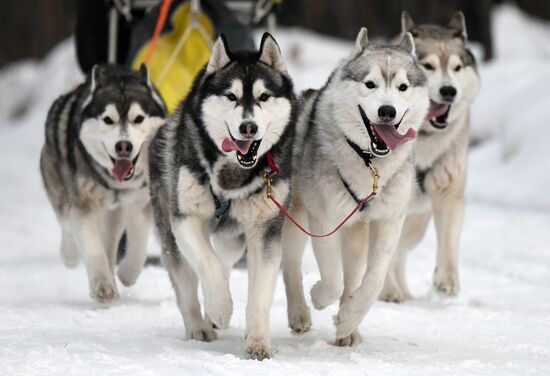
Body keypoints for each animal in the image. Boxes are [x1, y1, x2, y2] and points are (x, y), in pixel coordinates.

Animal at [40, 64, 166, 304]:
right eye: (108, 120)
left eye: (138, 118)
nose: (123, 146)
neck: (116, 184)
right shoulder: (83, 207)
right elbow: (93, 249)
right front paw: (102, 287)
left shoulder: (140, 202)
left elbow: (138, 243)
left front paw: (127, 273)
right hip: (59, 187)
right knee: (67, 224)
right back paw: (70, 255)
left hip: (114, 213)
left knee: (110, 242)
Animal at [149, 33, 298, 360]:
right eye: (231, 96)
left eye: (264, 97)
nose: (248, 127)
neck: (233, 174)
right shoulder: (185, 219)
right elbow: (208, 264)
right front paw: (220, 307)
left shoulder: (265, 229)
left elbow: (258, 295)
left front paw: (258, 342)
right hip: (171, 234)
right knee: (188, 281)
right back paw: (199, 325)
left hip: (233, 239)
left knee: (225, 260)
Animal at [284, 28, 432, 346]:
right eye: (370, 83)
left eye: (402, 87)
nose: (387, 111)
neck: (369, 163)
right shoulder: (325, 221)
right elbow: (332, 280)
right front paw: (319, 297)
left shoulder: (389, 221)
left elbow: (373, 281)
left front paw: (348, 319)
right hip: (296, 219)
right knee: (290, 265)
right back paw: (300, 312)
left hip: (356, 232)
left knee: (353, 277)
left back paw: (349, 330)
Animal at [382, 11, 480, 302]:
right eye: (429, 66)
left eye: (457, 68)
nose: (449, 91)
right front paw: (388, 291)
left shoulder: (448, 192)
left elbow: (449, 242)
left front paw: (446, 281)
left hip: (416, 225)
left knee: (400, 254)